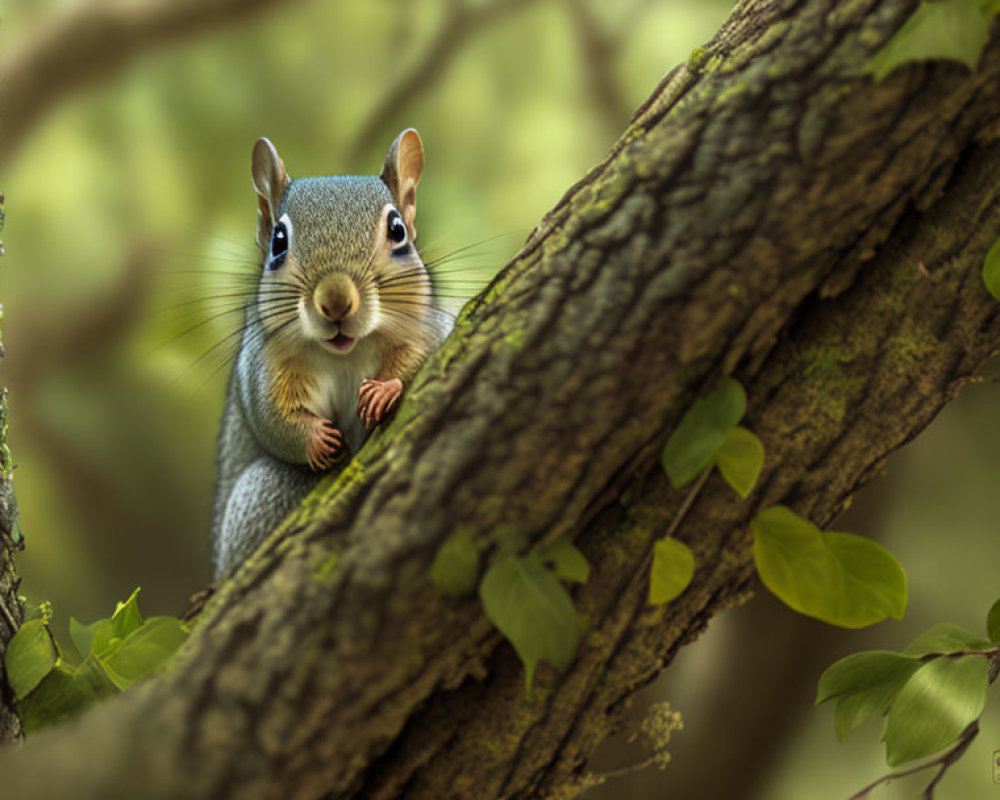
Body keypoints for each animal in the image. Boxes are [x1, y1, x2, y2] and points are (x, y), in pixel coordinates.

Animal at [212, 130, 446, 576]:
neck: (345, 355)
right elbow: (271, 415)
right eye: (278, 241)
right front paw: (316, 440)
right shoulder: (264, 363)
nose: (336, 301)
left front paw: (385, 390)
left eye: (397, 229)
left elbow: (421, 358)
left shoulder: (426, 327)